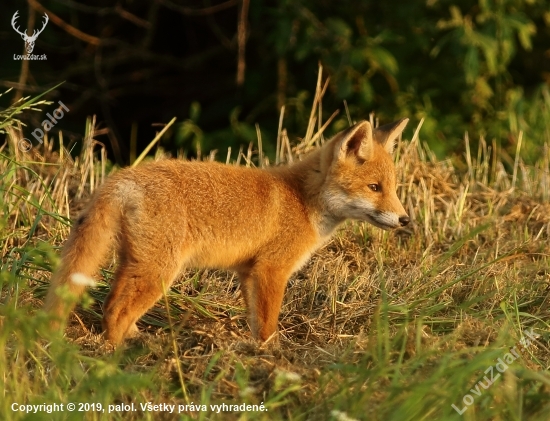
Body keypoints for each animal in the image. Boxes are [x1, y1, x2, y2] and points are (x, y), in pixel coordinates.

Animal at [43, 116, 410, 342]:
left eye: (393, 188)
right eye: (374, 188)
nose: (406, 220)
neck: (303, 201)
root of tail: (122, 177)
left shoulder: (249, 272)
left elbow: (255, 321)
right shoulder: (271, 270)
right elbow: (268, 326)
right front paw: (271, 360)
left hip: (135, 265)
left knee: (111, 306)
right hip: (158, 271)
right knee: (116, 312)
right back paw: (118, 356)